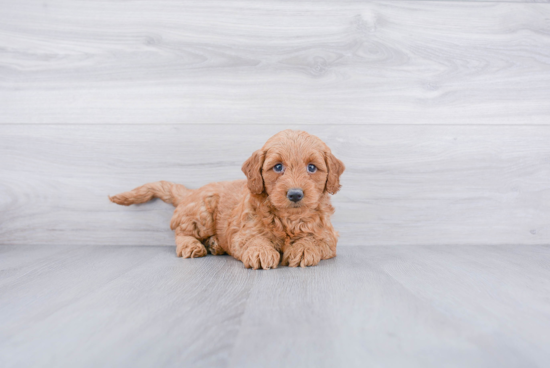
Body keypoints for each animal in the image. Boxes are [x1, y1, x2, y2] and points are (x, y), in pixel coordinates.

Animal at [109, 131, 344, 268]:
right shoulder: (244, 231)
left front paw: (303, 249)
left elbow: (314, 239)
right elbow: (254, 239)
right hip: (201, 212)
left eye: (312, 167)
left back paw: (215, 244)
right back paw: (191, 246)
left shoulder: (328, 237)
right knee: (181, 232)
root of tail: (191, 192)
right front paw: (261, 251)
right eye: (278, 167)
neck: (289, 218)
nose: (295, 194)